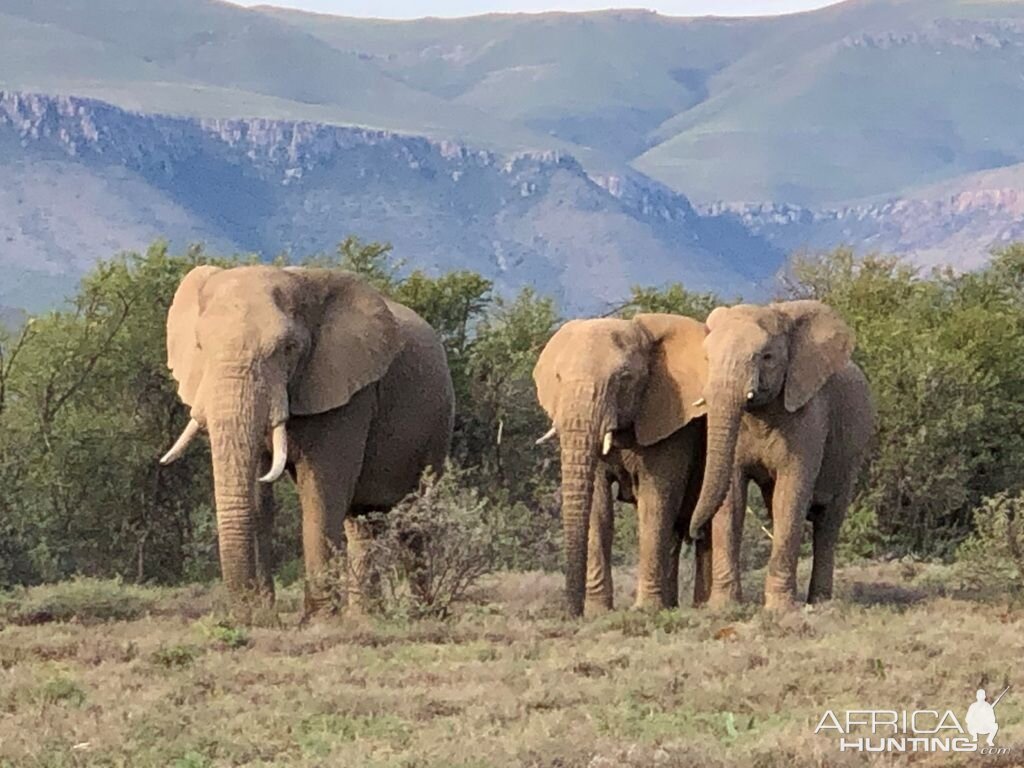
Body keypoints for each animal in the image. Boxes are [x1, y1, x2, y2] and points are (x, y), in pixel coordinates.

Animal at [157, 264, 454, 618]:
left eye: (288, 349)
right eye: (200, 346)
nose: (245, 613)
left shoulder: (349, 392)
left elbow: (321, 491)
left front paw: (318, 619)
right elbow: (258, 500)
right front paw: (264, 615)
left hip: (438, 423)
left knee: (415, 522)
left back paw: (422, 613)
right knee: (363, 523)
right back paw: (366, 616)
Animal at [532, 313, 708, 618]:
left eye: (624, 379)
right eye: (558, 378)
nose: (571, 613)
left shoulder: (670, 421)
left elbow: (655, 501)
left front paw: (645, 609)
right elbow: (598, 506)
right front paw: (598, 611)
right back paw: (671, 604)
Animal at [684, 301, 876, 614]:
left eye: (767, 357)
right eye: (706, 358)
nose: (695, 534)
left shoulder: (810, 415)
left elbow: (790, 494)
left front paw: (779, 609)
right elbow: (732, 498)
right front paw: (724, 608)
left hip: (851, 455)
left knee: (827, 523)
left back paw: (820, 601)